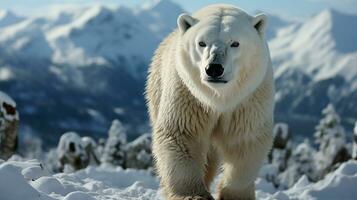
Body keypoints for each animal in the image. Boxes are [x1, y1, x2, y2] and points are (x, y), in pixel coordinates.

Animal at [145, 3, 272, 200]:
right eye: (202, 43)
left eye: (235, 43)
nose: (214, 68)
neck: (218, 97)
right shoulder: (188, 95)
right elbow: (183, 135)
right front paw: (193, 195)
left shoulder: (247, 100)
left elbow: (244, 141)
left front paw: (235, 195)